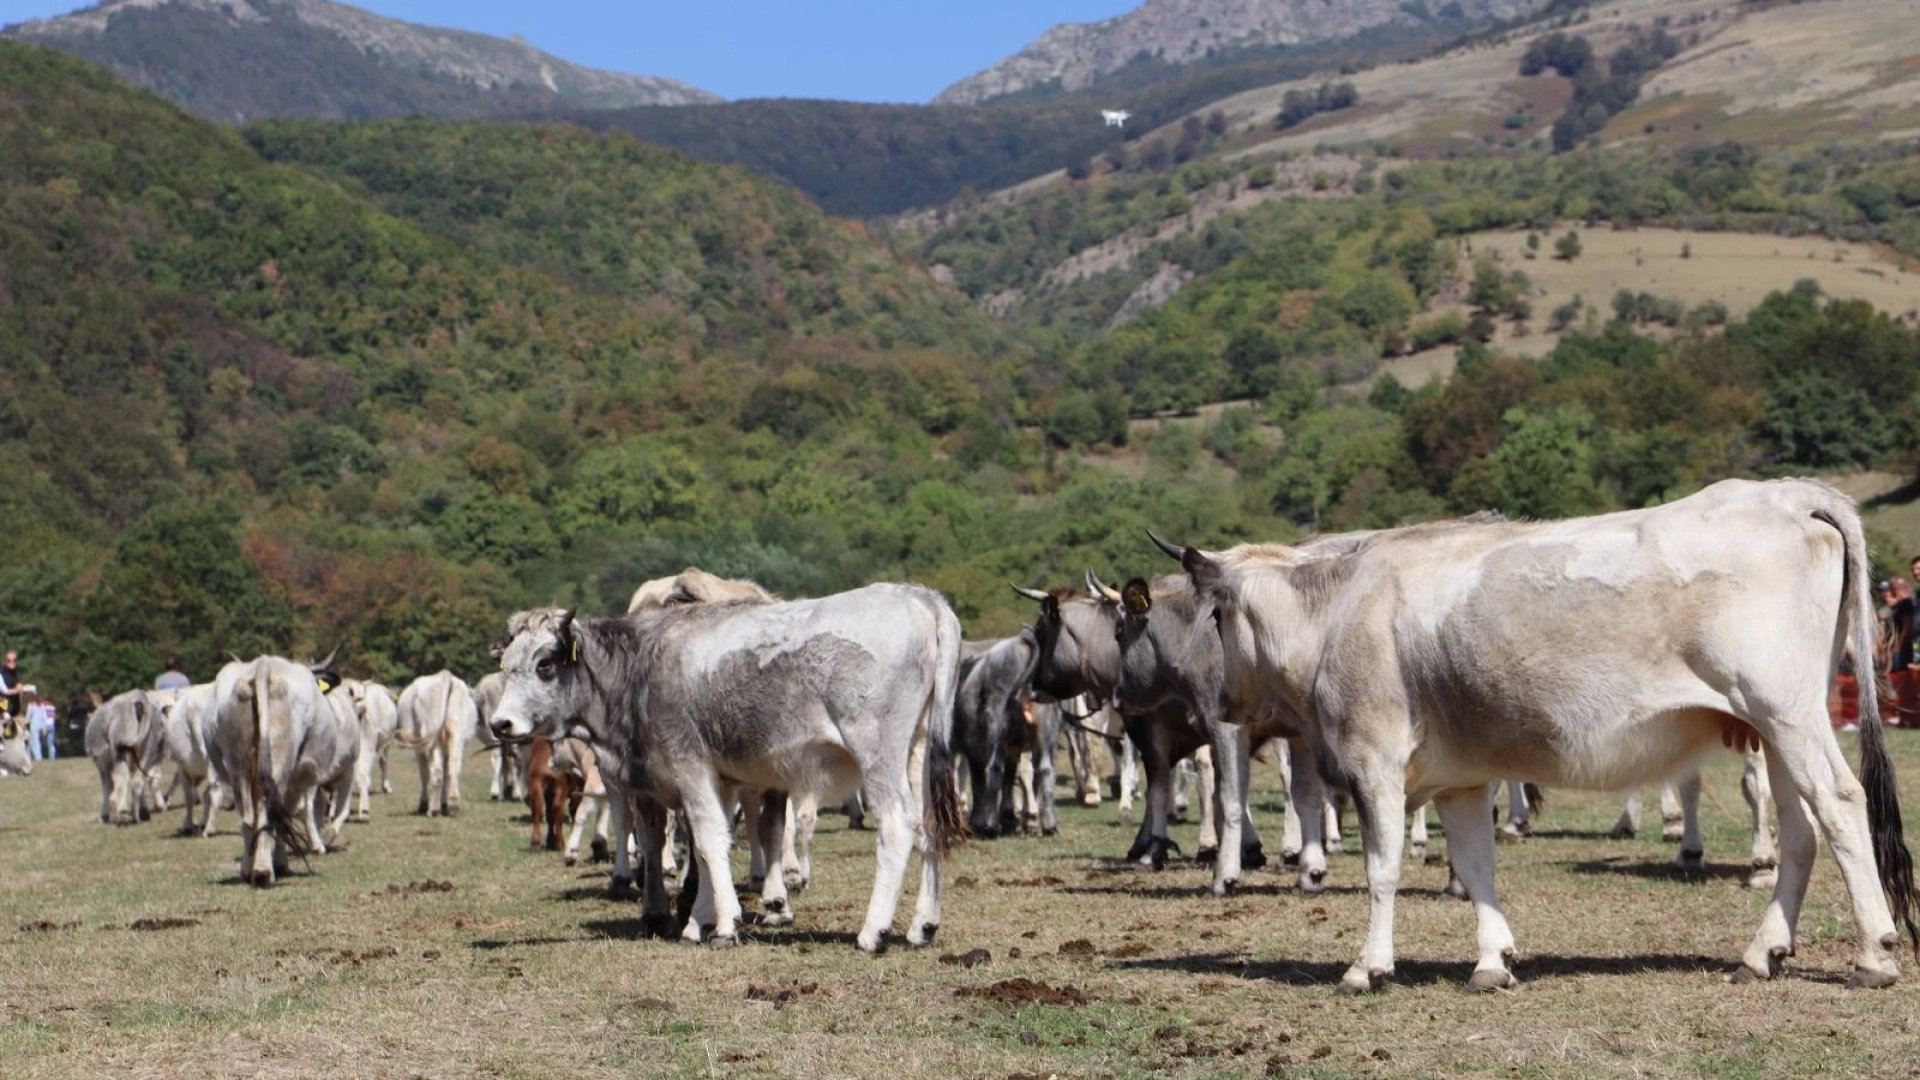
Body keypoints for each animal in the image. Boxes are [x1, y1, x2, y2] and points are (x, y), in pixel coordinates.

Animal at [487, 580, 967, 949]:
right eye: (507, 666)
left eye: (544, 664)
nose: (499, 723)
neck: (644, 666)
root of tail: (919, 597)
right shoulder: (715, 782)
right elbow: (704, 849)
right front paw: (698, 921)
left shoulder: (690, 768)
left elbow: (708, 841)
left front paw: (724, 925)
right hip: (918, 755)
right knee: (929, 827)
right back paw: (923, 926)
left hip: (877, 753)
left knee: (897, 825)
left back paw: (873, 932)